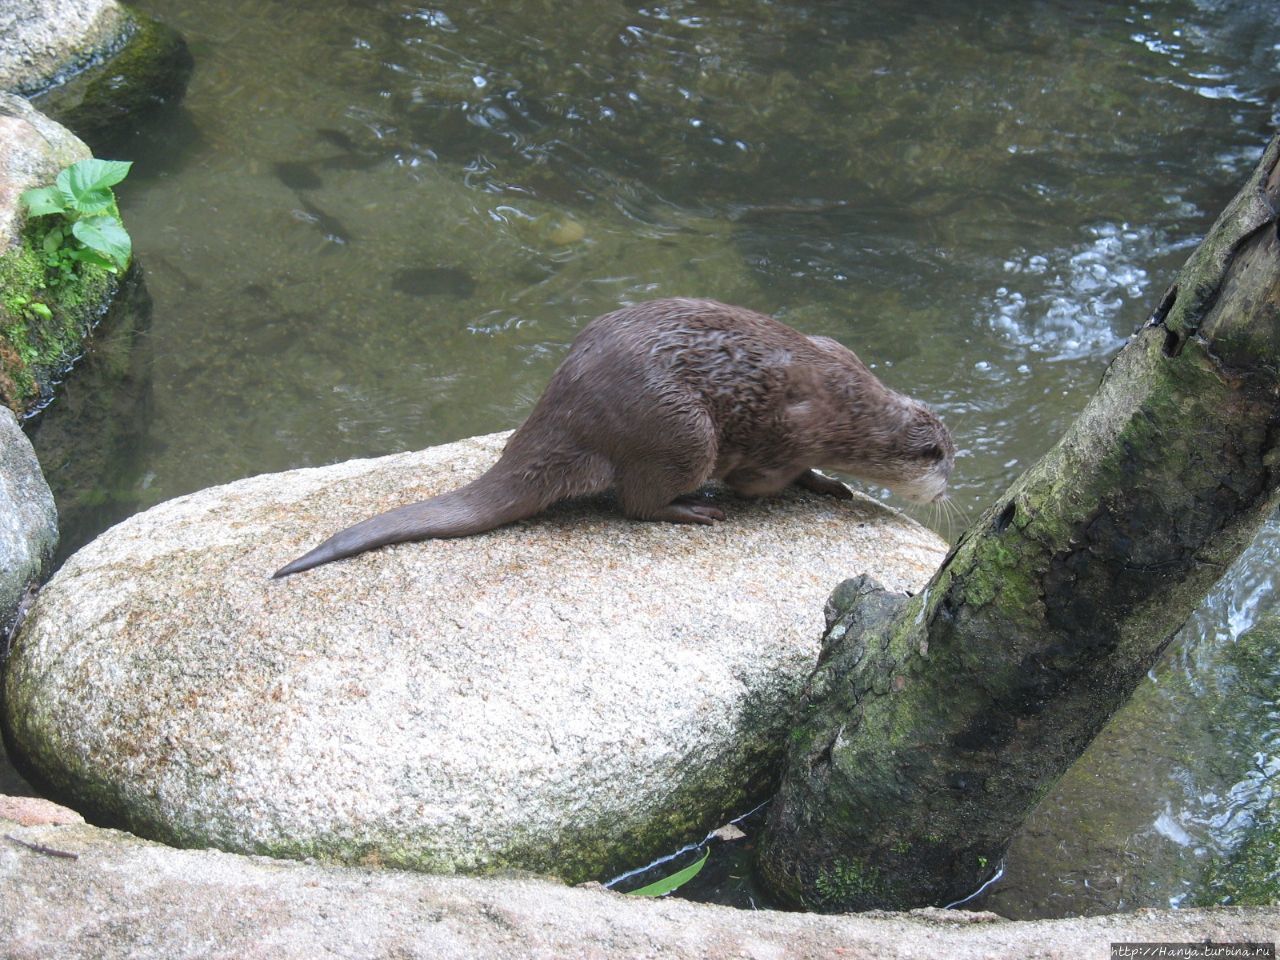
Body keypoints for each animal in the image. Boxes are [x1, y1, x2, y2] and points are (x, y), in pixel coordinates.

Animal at [272, 296, 952, 578]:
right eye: (945, 463)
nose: (950, 494)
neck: (852, 407)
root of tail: (565, 408)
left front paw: (834, 485)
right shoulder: (786, 438)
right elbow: (763, 481)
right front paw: (818, 483)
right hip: (681, 429)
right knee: (637, 502)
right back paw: (694, 510)